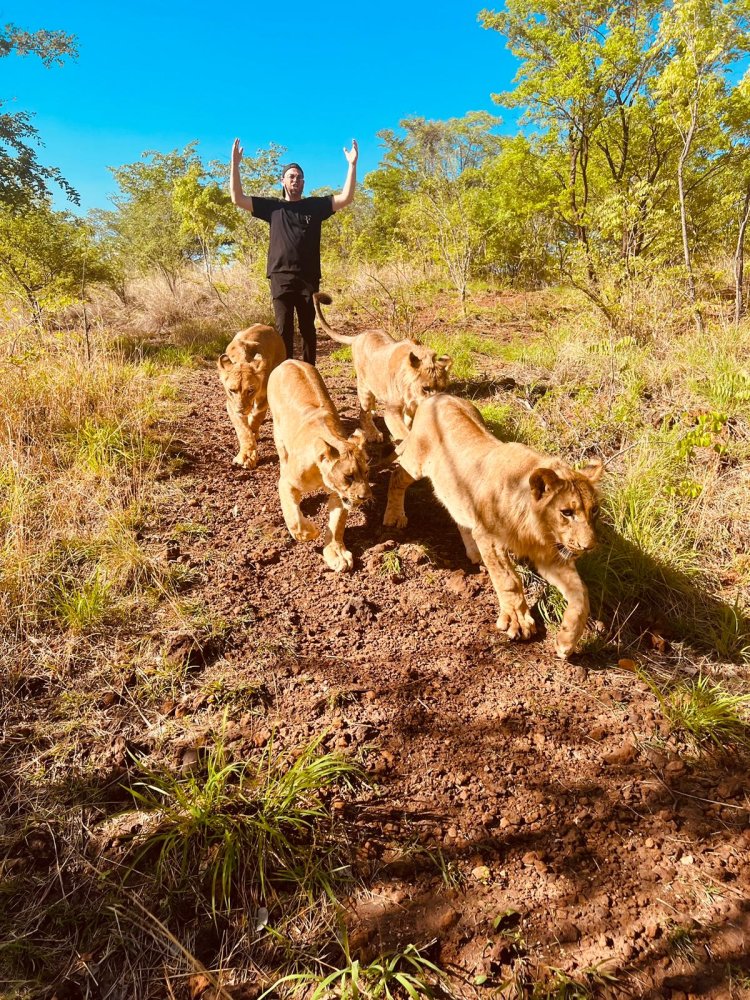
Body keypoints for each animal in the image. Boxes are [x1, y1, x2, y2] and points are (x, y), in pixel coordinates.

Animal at [220, 326, 288, 470]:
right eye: (232, 390)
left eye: (250, 390)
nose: (241, 410)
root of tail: (267, 326)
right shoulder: (231, 404)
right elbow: (243, 429)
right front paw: (246, 455)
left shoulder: (264, 397)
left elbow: (256, 417)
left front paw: (253, 432)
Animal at [268, 364, 374, 576]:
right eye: (348, 476)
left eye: (366, 472)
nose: (365, 497)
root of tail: (287, 362)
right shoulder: (287, 483)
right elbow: (294, 517)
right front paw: (311, 532)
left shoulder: (339, 496)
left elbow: (337, 524)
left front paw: (336, 553)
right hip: (278, 432)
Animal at [312, 292, 452, 444]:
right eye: (425, 388)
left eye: (443, 388)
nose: (437, 405)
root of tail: (359, 335)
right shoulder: (391, 410)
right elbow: (404, 432)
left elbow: (409, 423)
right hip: (363, 386)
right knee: (363, 413)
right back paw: (373, 433)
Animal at [388, 394, 604, 660]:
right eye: (566, 512)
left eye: (594, 510)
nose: (589, 546)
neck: (538, 530)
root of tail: (437, 395)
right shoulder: (490, 537)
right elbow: (508, 580)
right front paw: (518, 621)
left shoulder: (550, 556)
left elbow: (580, 594)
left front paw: (567, 640)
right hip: (415, 462)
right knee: (397, 474)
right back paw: (394, 516)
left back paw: (474, 553)